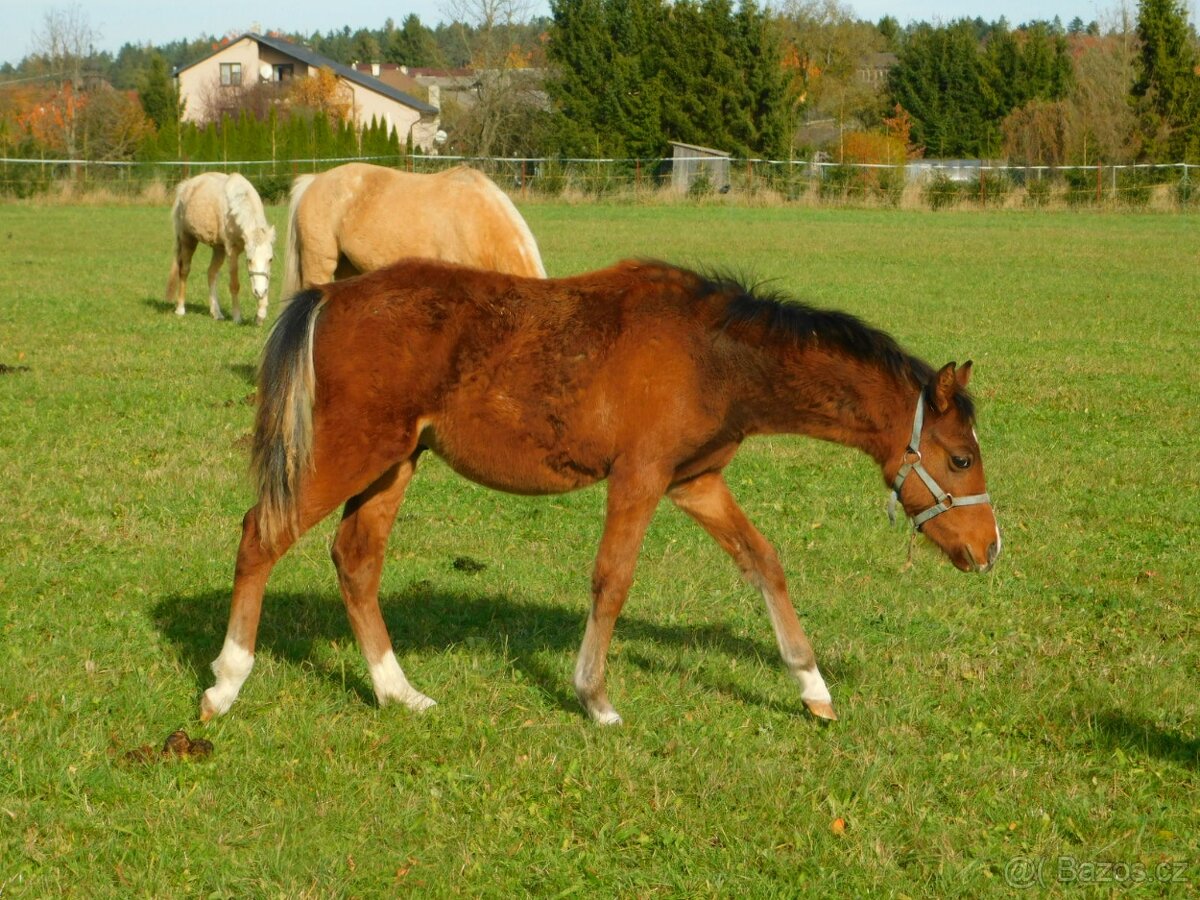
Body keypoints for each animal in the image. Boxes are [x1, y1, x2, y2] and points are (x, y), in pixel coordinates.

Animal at [167, 173, 277, 325]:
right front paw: (237, 317)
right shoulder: (232, 252)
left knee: (211, 273)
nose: (259, 292)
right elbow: (235, 285)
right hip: (188, 239)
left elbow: (267, 280)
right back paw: (180, 309)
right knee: (184, 271)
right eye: (249, 260)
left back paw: (216, 313)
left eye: (270, 260)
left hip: (218, 249)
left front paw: (260, 315)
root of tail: (186, 186)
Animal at [200, 259, 1000, 725]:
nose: (989, 549)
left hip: (393, 464)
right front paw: (594, 697)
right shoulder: (639, 478)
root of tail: (329, 294)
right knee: (260, 536)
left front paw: (814, 687)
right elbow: (612, 579)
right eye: (961, 458)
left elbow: (764, 563)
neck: (714, 353)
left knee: (356, 560)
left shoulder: (695, 482)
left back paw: (398, 691)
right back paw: (225, 684)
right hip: (350, 454)